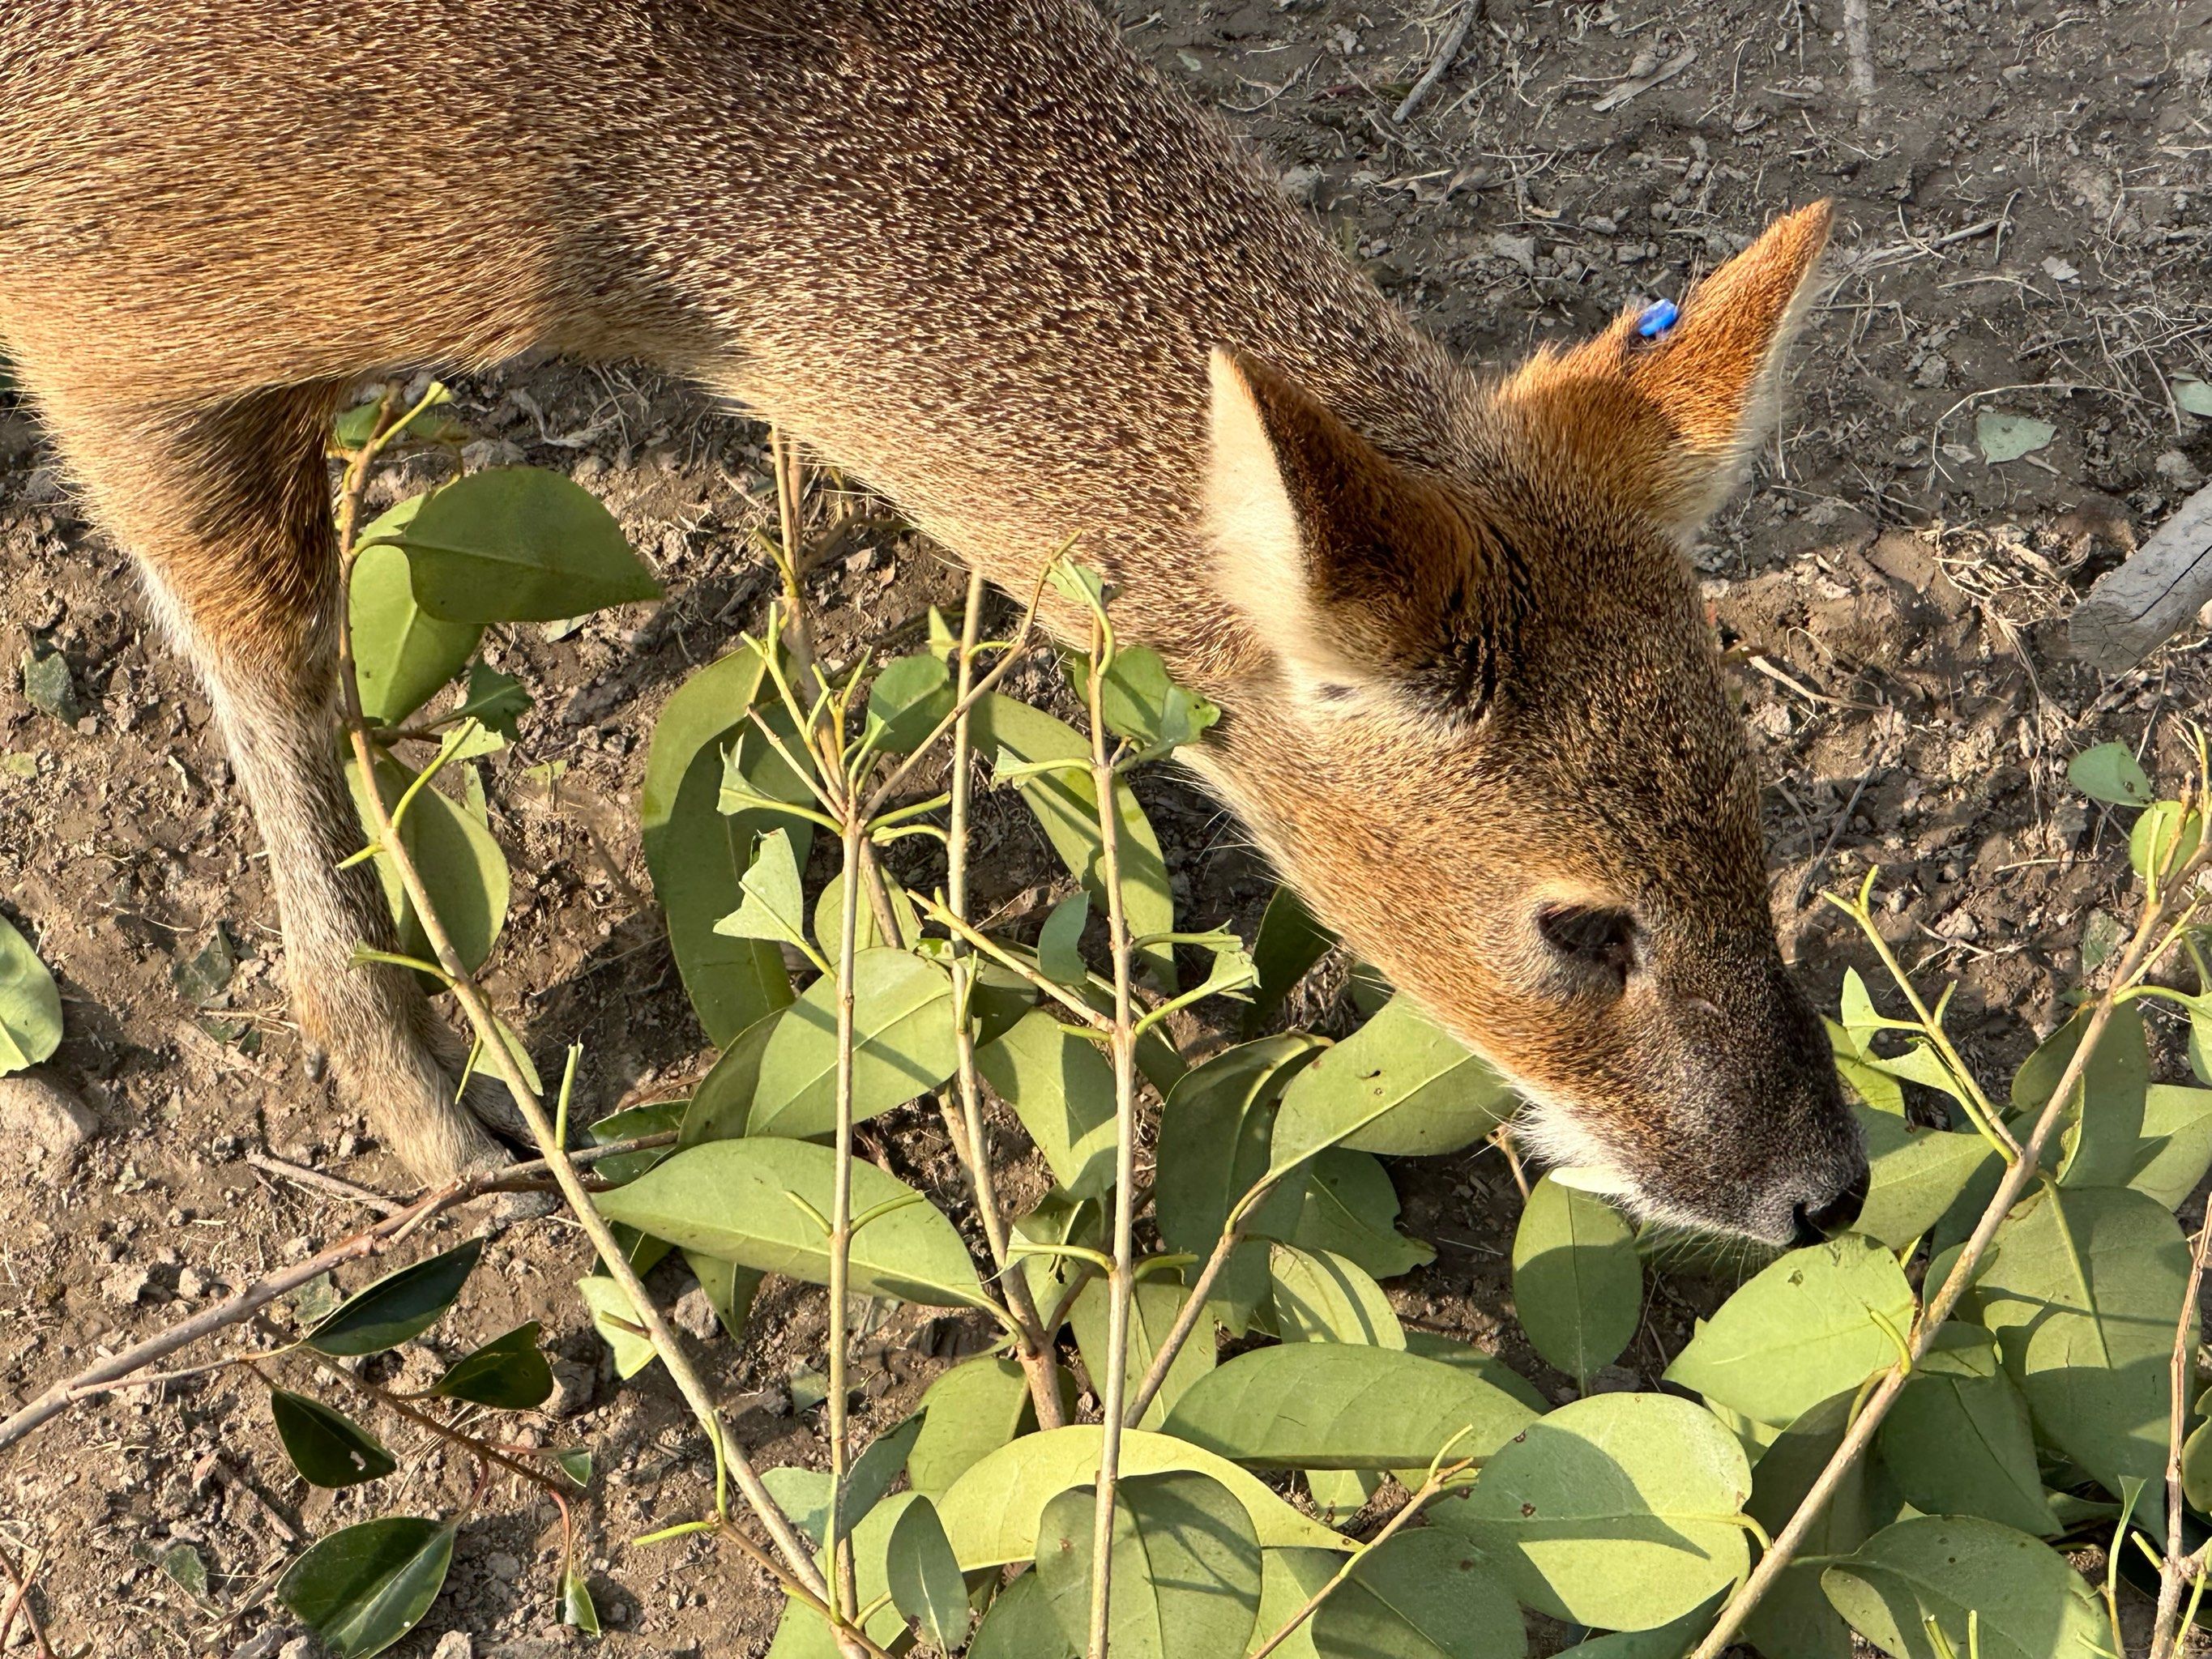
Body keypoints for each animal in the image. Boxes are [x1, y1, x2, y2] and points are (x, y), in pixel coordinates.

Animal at [0, 0, 1865, 1245]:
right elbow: (276, 668)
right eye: (1583, 923)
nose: (1822, 1188)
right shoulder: (112, 313)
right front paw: (435, 1120)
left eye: (1755, 803)